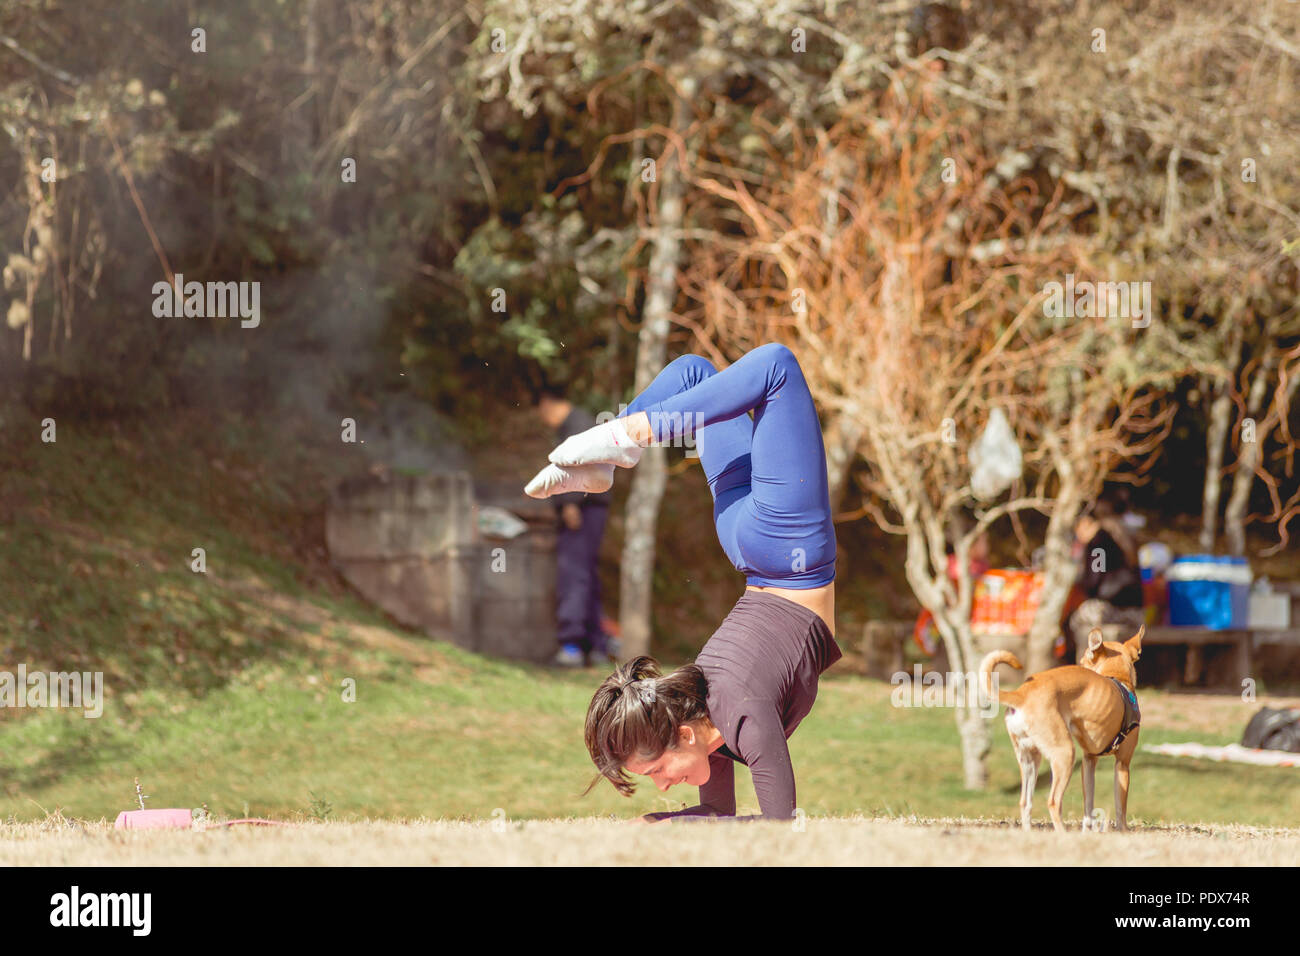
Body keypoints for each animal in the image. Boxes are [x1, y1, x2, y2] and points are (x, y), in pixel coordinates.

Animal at [977, 624, 1144, 832]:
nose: (1079, 663)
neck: (1117, 676)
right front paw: (1123, 831)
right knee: (1053, 802)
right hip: (1064, 754)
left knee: (1025, 802)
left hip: (1030, 759)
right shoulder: (1122, 764)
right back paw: (1063, 833)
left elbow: (1088, 806)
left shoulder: (1089, 761)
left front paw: (1087, 831)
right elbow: (1121, 807)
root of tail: (1022, 694)